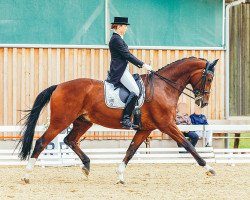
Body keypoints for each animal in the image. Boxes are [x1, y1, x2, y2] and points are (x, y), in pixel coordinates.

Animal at [18, 56, 219, 184]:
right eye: (209, 78)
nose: (203, 102)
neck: (164, 87)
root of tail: (59, 85)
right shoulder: (167, 125)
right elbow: (188, 145)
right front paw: (209, 168)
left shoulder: (145, 129)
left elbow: (131, 150)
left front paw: (120, 176)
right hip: (61, 121)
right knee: (42, 142)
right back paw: (26, 175)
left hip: (83, 121)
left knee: (70, 140)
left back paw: (86, 166)